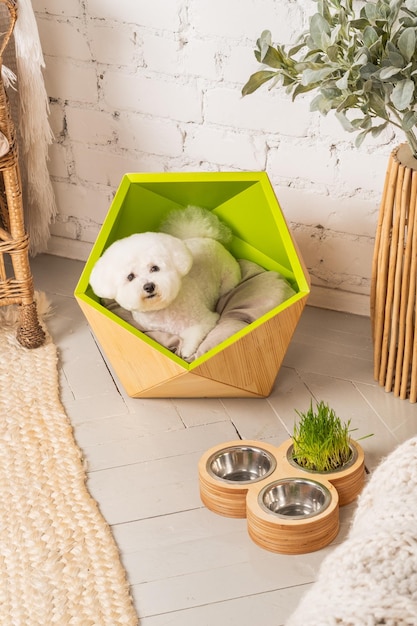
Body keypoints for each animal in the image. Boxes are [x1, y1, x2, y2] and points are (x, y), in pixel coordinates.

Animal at [90, 206, 240, 358]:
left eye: (155, 268)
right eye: (130, 277)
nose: (149, 287)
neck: (162, 310)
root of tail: (203, 237)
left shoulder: (204, 320)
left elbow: (194, 334)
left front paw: (186, 351)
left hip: (229, 280)